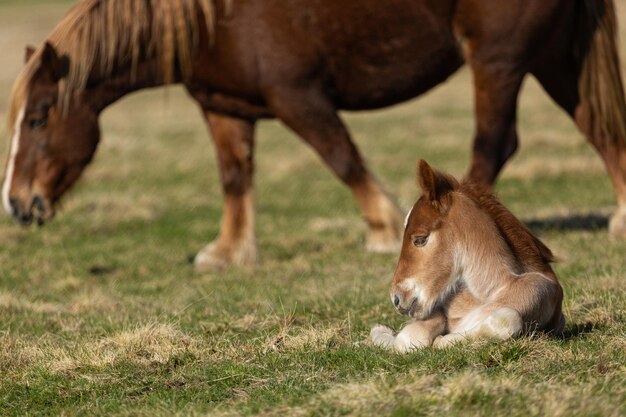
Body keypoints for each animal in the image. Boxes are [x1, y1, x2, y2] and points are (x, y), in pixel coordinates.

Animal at [3, 0, 624, 270]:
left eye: (38, 118)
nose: (16, 204)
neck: (210, 17)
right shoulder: (225, 108)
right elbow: (235, 178)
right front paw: (228, 252)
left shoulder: (298, 96)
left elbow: (341, 158)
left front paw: (382, 230)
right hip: (553, 57)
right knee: (598, 126)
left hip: (498, 60)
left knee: (494, 142)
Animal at [368, 159, 564, 352]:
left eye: (420, 240)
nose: (397, 298)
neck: (487, 293)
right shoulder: (435, 308)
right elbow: (408, 337)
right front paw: (381, 332)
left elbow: (506, 320)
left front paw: (442, 341)